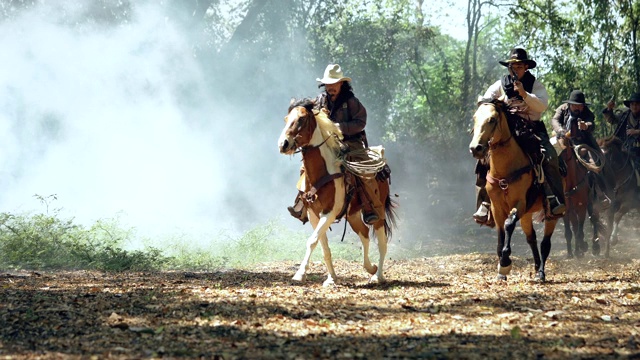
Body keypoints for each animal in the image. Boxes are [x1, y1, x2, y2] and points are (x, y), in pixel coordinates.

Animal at [278, 97, 396, 286]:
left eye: (302, 119)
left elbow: (312, 241)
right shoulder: (313, 214)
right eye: (286, 119)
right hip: (353, 214)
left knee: (382, 241)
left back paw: (377, 276)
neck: (322, 172)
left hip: (378, 212)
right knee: (364, 234)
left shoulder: (329, 213)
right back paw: (370, 267)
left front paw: (300, 274)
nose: (283, 144)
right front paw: (332, 278)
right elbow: (323, 245)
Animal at [468, 98, 556, 282]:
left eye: (492, 119)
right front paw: (501, 270)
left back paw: (541, 273)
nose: (475, 148)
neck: (505, 172)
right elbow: (501, 234)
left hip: (551, 214)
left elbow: (509, 224)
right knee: (532, 238)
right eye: (475, 118)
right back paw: (536, 268)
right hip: (527, 214)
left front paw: (505, 262)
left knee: (545, 242)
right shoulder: (496, 207)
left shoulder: (519, 203)